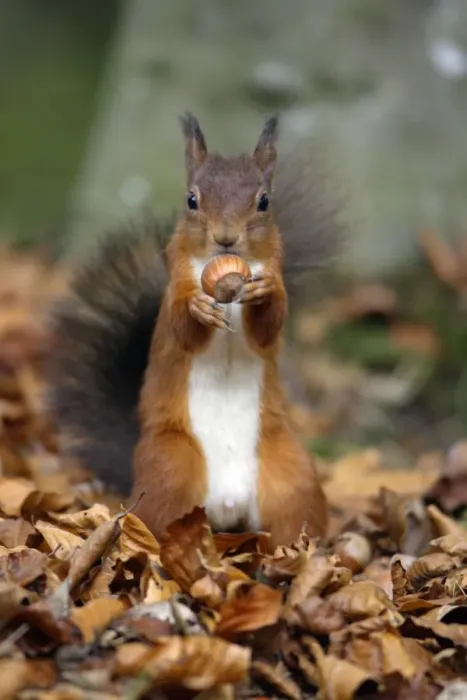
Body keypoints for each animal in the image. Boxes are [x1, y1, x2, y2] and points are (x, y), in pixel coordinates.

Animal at [46, 113, 345, 549]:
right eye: (191, 200)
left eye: (264, 201)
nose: (226, 238)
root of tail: (228, 506)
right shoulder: (175, 289)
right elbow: (182, 329)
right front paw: (198, 309)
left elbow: (268, 328)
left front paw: (266, 292)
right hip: (171, 468)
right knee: (156, 519)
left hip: (292, 474)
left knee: (292, 516)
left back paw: (299, 551)